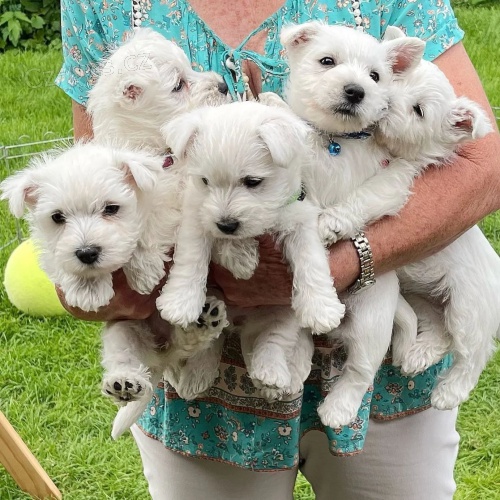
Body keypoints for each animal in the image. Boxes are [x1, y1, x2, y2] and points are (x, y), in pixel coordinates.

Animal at [280, 23, 424, 428]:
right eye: (327, 61)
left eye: (375, 76)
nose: (355, 90)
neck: (335, 141)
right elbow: (304, 240)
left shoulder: (389, 179)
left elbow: (365, 196)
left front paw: (332, 222)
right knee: (301, 339)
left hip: (371, 322)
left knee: (360, 372)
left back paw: (337, 409)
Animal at [374, 26, 498, 410]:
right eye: (391, 78)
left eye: (418, 110)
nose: (383, 103)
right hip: (425, 297)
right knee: (440, 332)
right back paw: (419, 355)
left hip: (467, 308)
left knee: (474, 352)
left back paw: (450, 391)